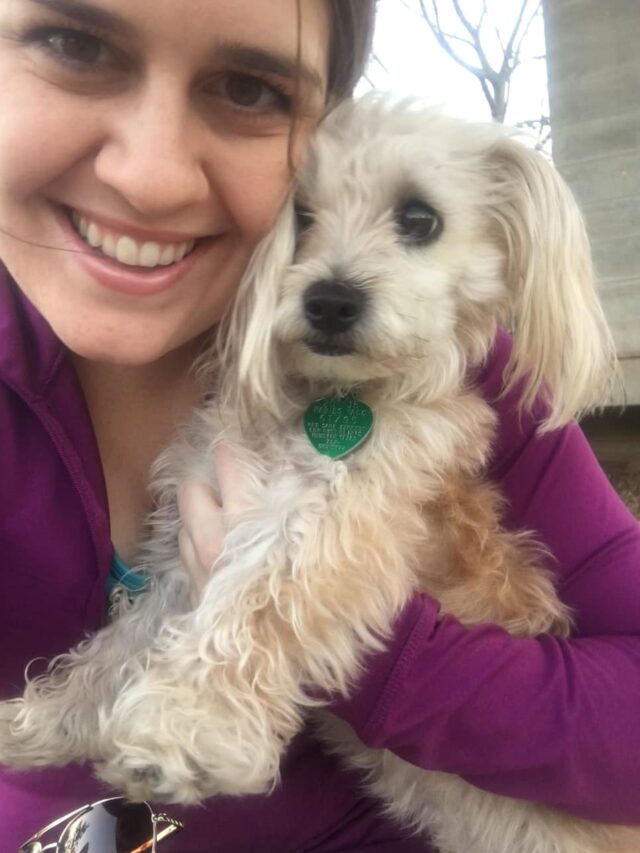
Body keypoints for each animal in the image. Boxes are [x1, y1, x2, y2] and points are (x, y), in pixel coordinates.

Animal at [3, 96, 636, 848]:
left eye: (419, 218)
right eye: (300, 216)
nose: (330, 300)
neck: (326, 398)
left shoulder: (330, 520)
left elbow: (255, 604)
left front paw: (185, 727)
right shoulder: (188, 547)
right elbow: (122, 643)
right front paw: (43, 720)